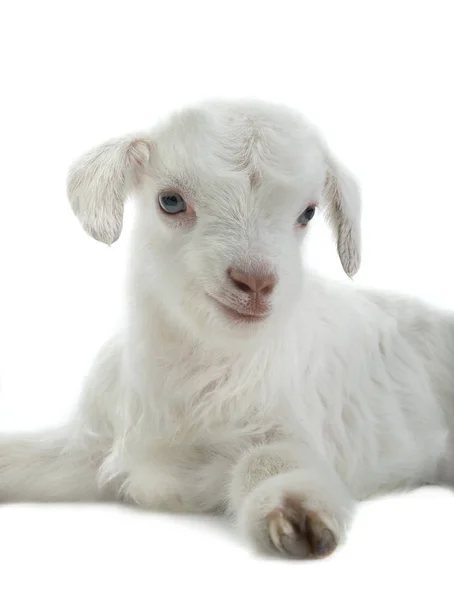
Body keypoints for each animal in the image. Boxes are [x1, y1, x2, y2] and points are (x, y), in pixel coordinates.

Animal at [0, 99, 454, 556]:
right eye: (170, 201)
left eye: (307, 213)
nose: (255, 282)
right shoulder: (91, 447)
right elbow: (24, 457)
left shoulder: (285, 427)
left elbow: (268, 459)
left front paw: (294, 513)